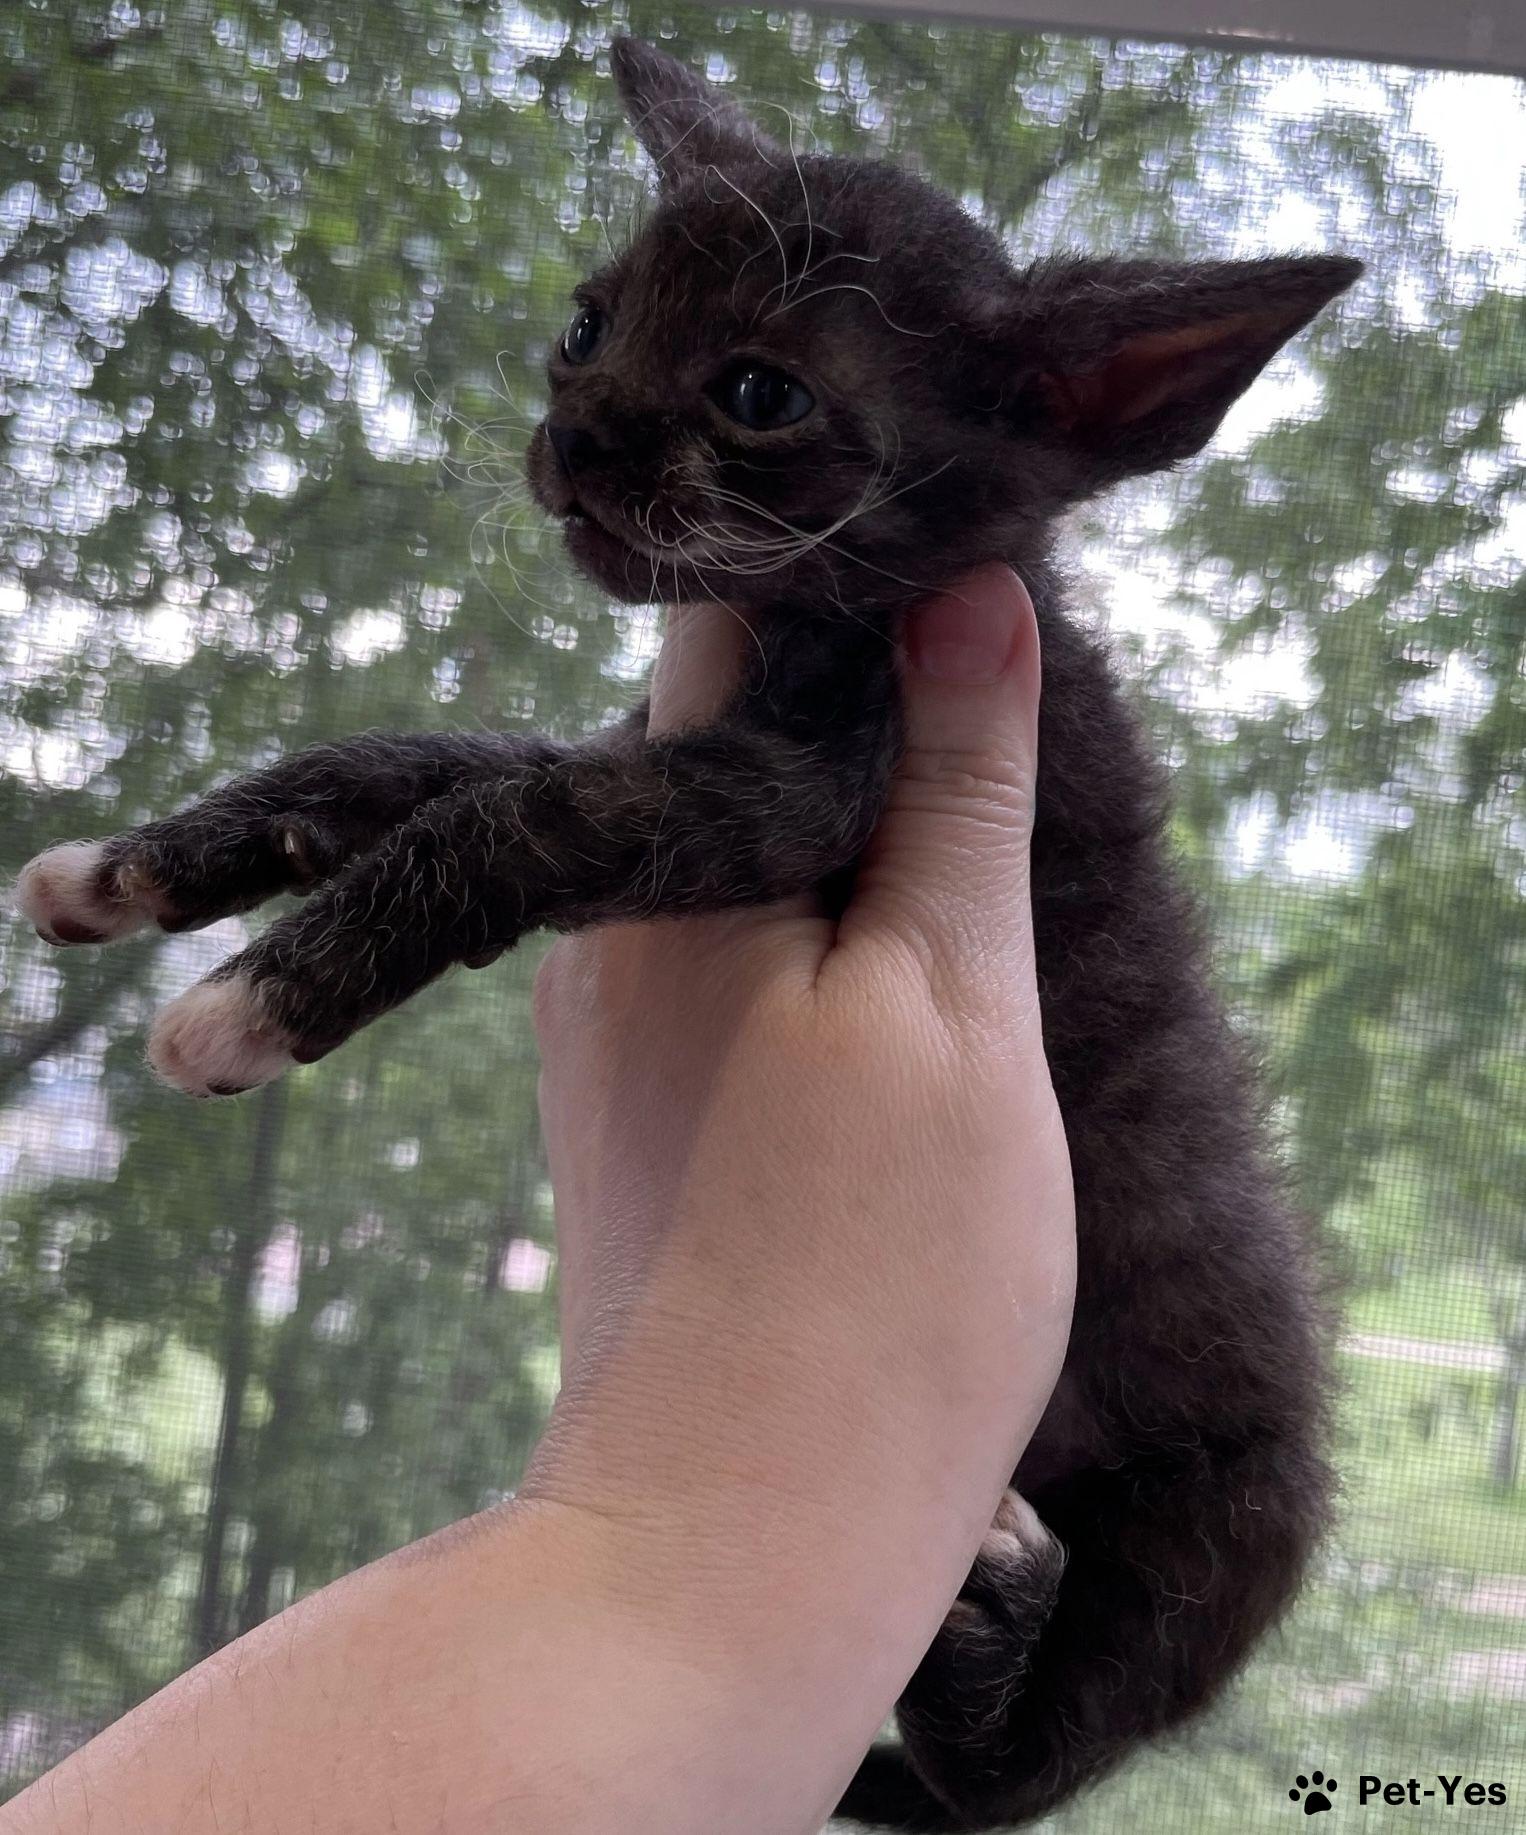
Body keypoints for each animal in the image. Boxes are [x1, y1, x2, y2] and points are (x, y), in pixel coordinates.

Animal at [15, 35, 1360, 1831]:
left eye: (759, 397)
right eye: (590, 324)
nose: (572, 432)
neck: (815, 617)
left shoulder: (786, 790)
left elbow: (513, 814)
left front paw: (251, 1000)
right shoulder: (642, 732)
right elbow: (406, 764)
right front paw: (135, 868)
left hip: (1216, 1538)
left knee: (1003, 1770)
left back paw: (996, 1621)